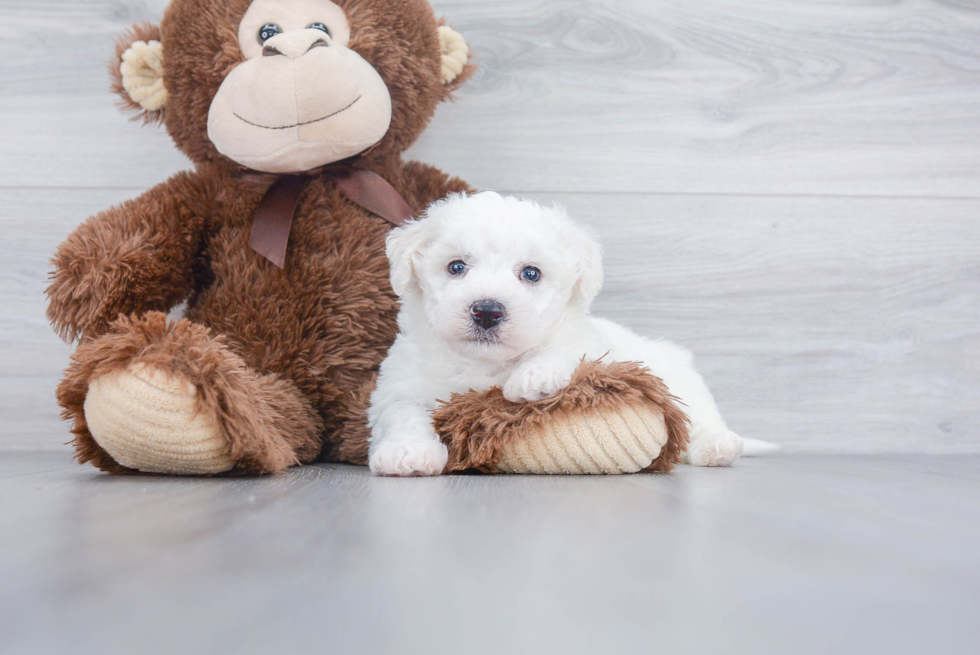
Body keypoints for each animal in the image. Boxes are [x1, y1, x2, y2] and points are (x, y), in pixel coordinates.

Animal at [368, 191, 756, 476]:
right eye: (456, 267)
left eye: (531, 273)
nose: (487, 311)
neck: (485, 363)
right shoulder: (398, 384)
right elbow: (402, 412)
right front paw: (407, 452)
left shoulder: (588, 344)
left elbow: (566, 349)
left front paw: (533, 375)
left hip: (681, 383)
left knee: (698, 419)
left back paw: (717, 446)